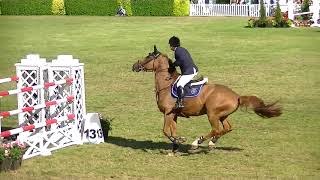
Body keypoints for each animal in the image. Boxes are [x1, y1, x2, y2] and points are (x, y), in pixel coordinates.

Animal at [131, 45, 282, 153]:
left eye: (148, 57)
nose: (134, 66)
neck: (166, 84)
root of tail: (236, 96)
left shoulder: (168, 112)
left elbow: (165, 131)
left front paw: (180, 141)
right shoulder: (174, 114)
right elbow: (173, 130)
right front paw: (176, 145)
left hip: (212, 114)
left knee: (216, 129)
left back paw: (196, 143)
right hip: (222, 115)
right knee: (227, 128)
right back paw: (211, 143)